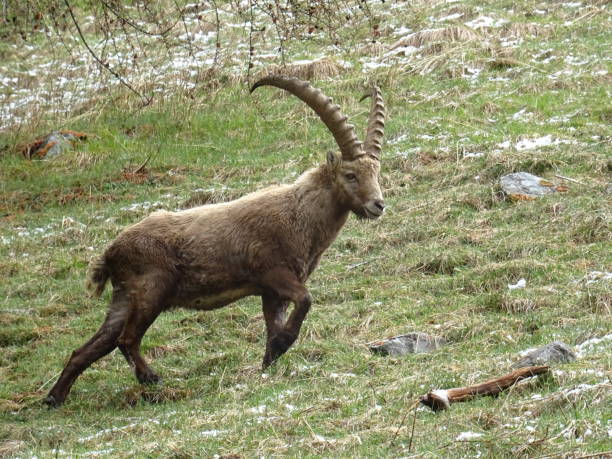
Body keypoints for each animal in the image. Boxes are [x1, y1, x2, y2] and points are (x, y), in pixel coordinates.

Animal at [45, 75, 384, 410]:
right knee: (125, 339)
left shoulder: (271, 291)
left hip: (124, 297)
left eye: (376, 172)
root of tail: (110, 252)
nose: (378, 205)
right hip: (151, 290)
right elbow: (305, 300)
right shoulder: (274, 273)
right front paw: (279, 346)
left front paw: (269, 359)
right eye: (350, 175)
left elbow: (274, 323)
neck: (299, 213)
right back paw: (150, 379)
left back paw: (54, 398)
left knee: (88, 348)